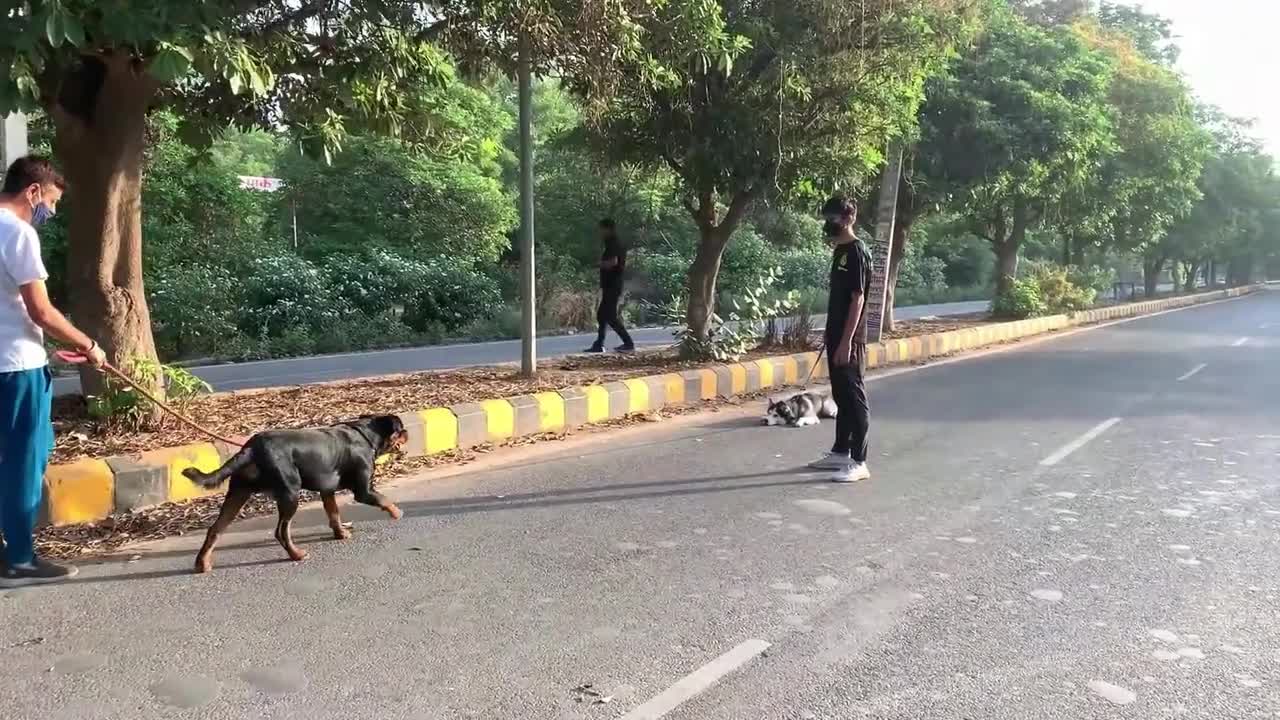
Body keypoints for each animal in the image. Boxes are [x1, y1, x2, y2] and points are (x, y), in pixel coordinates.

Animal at [180, 415, 407, 571]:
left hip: (238, 494)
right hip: (290, 494)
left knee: (215, 530)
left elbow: (334, 514)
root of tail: (252, 447)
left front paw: (341, 533)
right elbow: (384, 499)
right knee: (281, 531)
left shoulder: (327, 491)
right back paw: (296, 554)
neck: (366, 435)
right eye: (401, 429)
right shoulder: (363, 490)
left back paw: (202, 563)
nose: (406, 432)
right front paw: (397, 513)